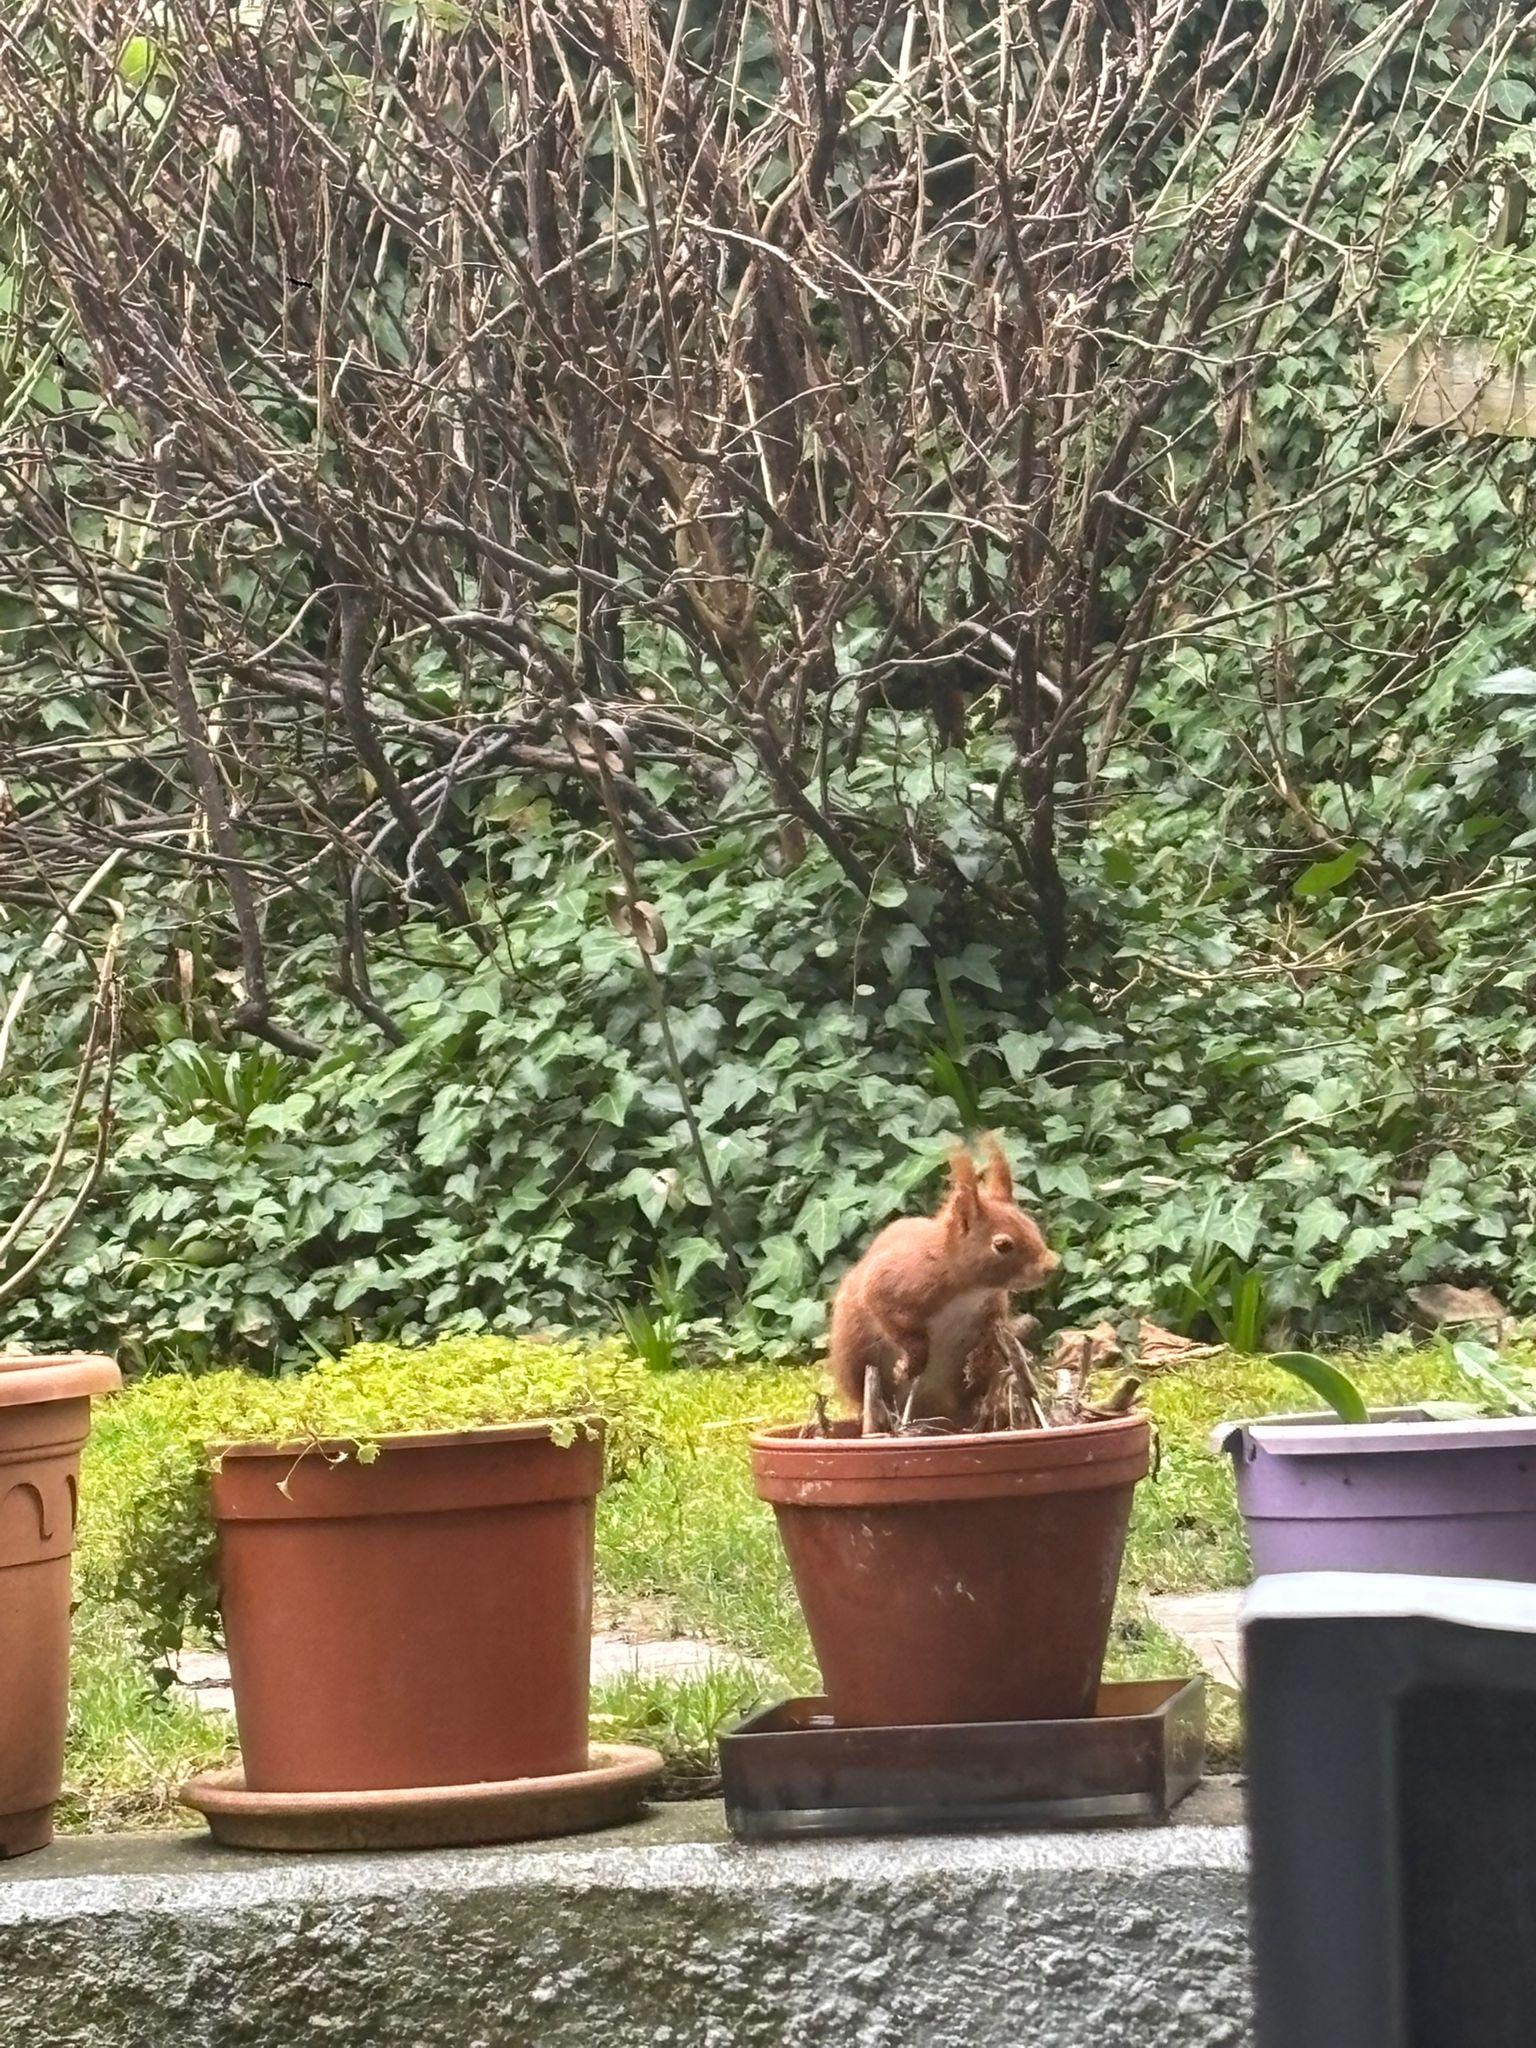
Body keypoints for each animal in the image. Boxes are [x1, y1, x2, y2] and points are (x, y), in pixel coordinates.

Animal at [827, 1136, 1059, 1423]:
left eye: (1032, 1226)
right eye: (1002, 1245)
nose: (1051, 1266)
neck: (970, 1291)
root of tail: (935, 1409)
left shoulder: (992, 1305)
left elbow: (992, 1329)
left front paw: (978, 1358)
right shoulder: (894, 1282)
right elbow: (891, 1316)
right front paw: (911, 1361)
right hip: (855, 1358)